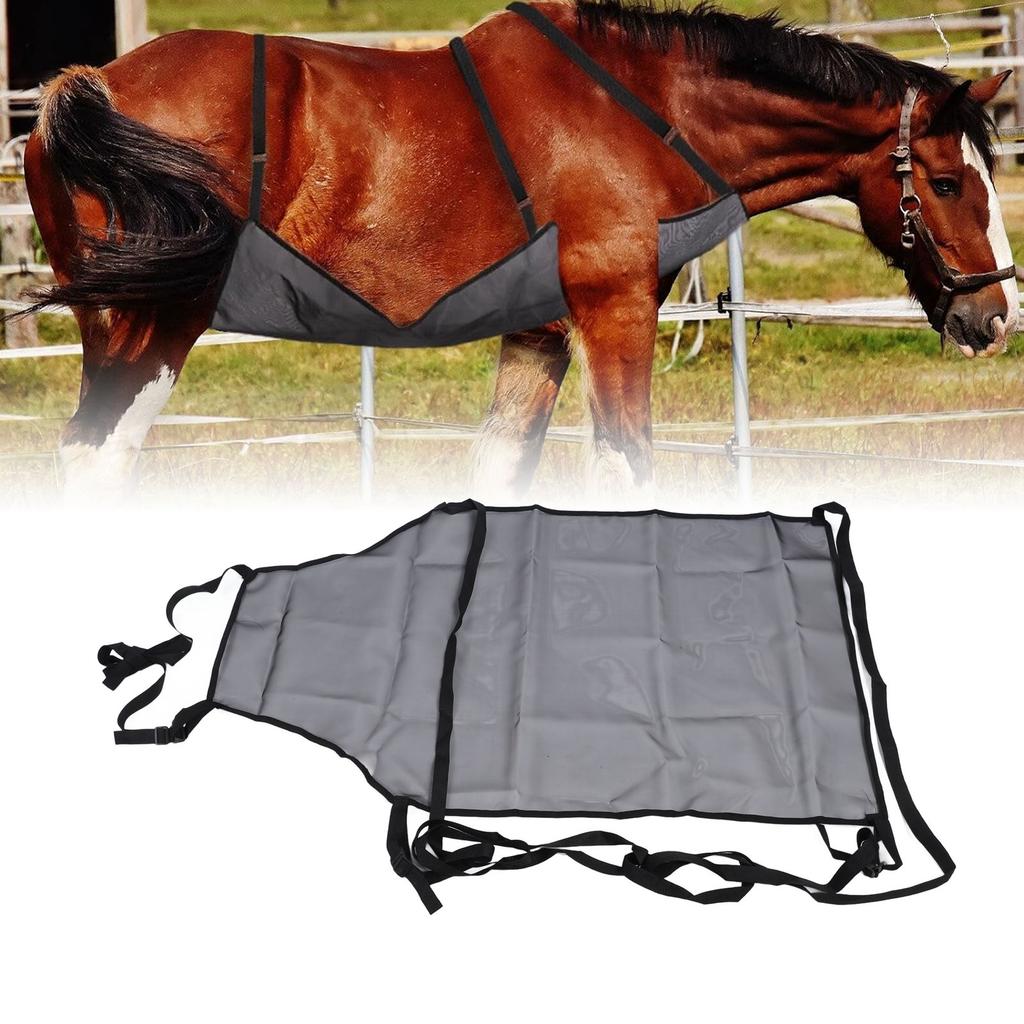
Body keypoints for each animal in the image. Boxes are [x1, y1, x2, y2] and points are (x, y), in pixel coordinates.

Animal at [20, 0, 1018, 496]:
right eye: (948, 182)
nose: (994, 313)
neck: (637, 105)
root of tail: (88, 85)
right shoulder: (614, 313)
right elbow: (626, 464)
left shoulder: (540, 333)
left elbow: (502, 467)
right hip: (161, 323)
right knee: (97, 459)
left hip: (111, 324)